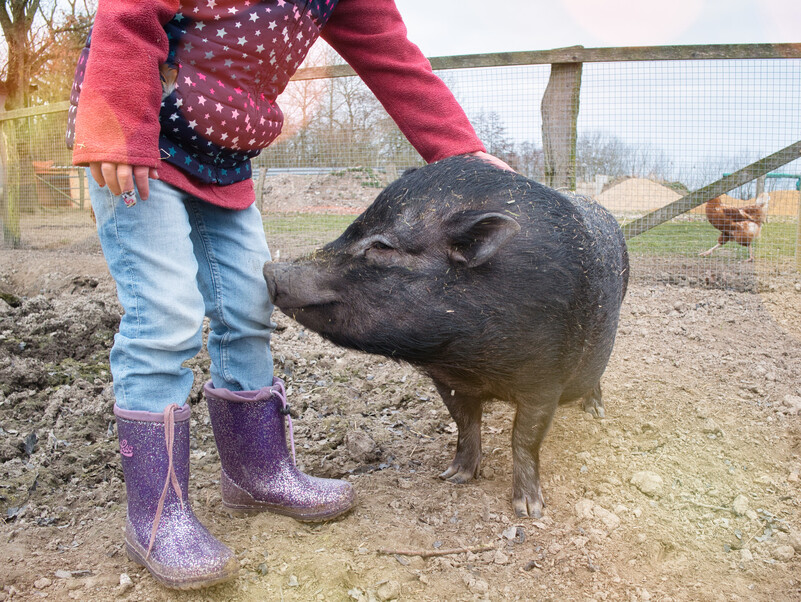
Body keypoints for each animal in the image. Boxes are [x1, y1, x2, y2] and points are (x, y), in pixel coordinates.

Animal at [263, 155, 629, 518]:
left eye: (381, 245)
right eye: (351, 228)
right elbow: (465, 424)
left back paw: (596, 412)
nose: (269, 270)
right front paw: (453, 476)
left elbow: (524, 439)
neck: (473, 363)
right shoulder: (446, 380)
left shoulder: (544, 381)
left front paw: (529, 510)